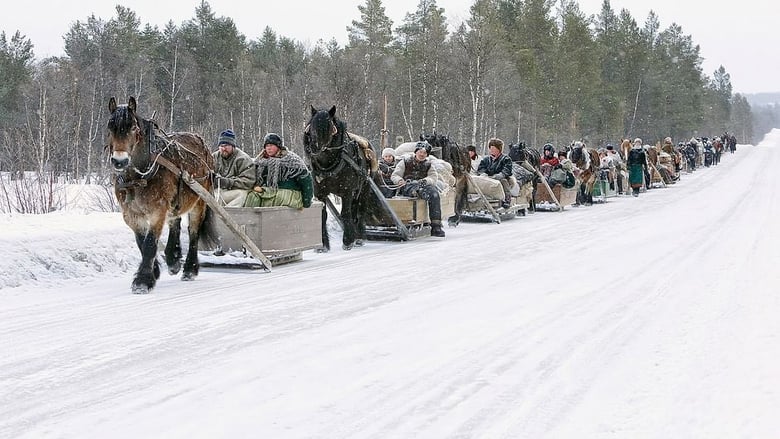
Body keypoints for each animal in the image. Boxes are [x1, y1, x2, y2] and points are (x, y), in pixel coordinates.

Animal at [107, 97, 213, 296]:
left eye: (133, 128)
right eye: (110, 127)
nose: (119, 161)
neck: (138, 177)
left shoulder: (157, 210)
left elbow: (149, 244)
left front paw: (142, 281)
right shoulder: (131, 214)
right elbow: (141, 243)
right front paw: (154, 271)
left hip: (200, 200)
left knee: (193, 231)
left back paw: (190, 269)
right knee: (175, 222)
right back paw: (173, 258)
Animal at [304, 105, 380, 253]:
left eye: (329, 127)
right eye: (311, 127)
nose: (313, 149)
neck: (328, 165)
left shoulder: (347, 191)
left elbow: (345, 213)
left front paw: (348, 241)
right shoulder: (320, 193)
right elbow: (323, 215)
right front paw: (323, 245)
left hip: (365, 187)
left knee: (360, 210)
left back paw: (359, 237)